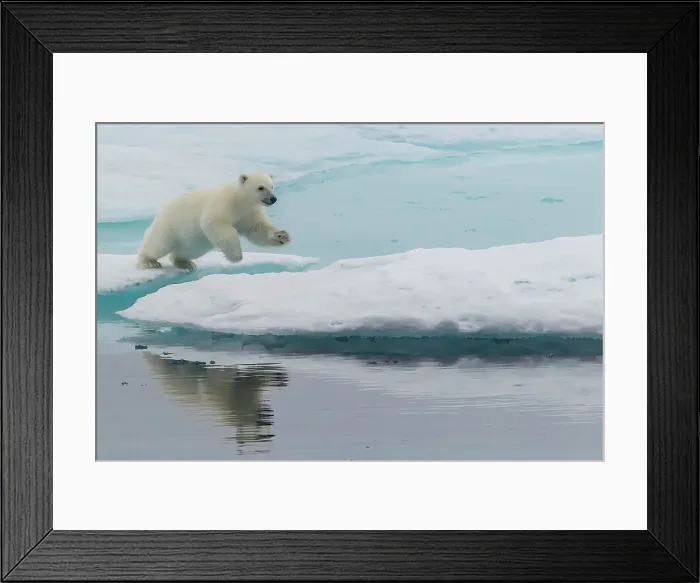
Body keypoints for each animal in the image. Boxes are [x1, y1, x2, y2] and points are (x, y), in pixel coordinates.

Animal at [136, 172, 290, 271]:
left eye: (272, 186)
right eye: (260, 187)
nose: (273, 199)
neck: (240, 201)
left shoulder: (249, 213)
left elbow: (257, 229)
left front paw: (282, 236)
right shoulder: (222, 204)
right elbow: (216, 224)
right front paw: (236, 256)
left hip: (192, 241)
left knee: (188, 250)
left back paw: (186, 263)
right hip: (169, 226)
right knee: (158, 244)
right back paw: (149, 262)